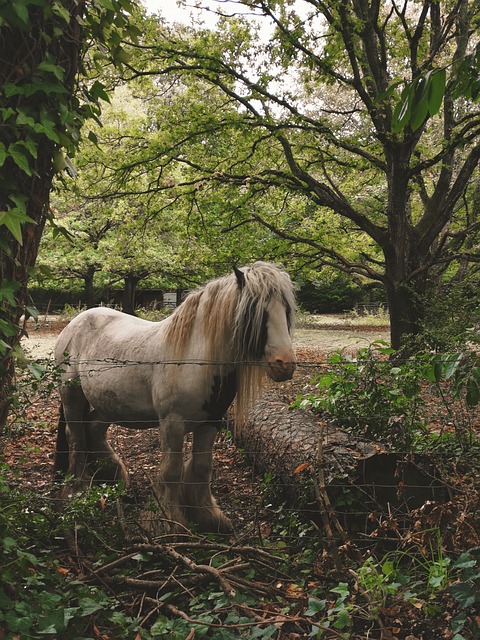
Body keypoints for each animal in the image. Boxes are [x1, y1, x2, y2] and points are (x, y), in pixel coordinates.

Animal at [56, 262, 296, 532]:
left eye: (286, 309)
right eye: (255, 311)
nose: (284, 364)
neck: (196, 357)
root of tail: (76, 322)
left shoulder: (210, 422)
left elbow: (202, 468)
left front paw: (208, 516)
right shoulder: (173, 423)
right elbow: (171, 470)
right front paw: (168, 523)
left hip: (108, 404)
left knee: (93, 429)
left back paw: (115, 479)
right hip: (71, 395)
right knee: (76, 437)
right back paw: (78, 491)